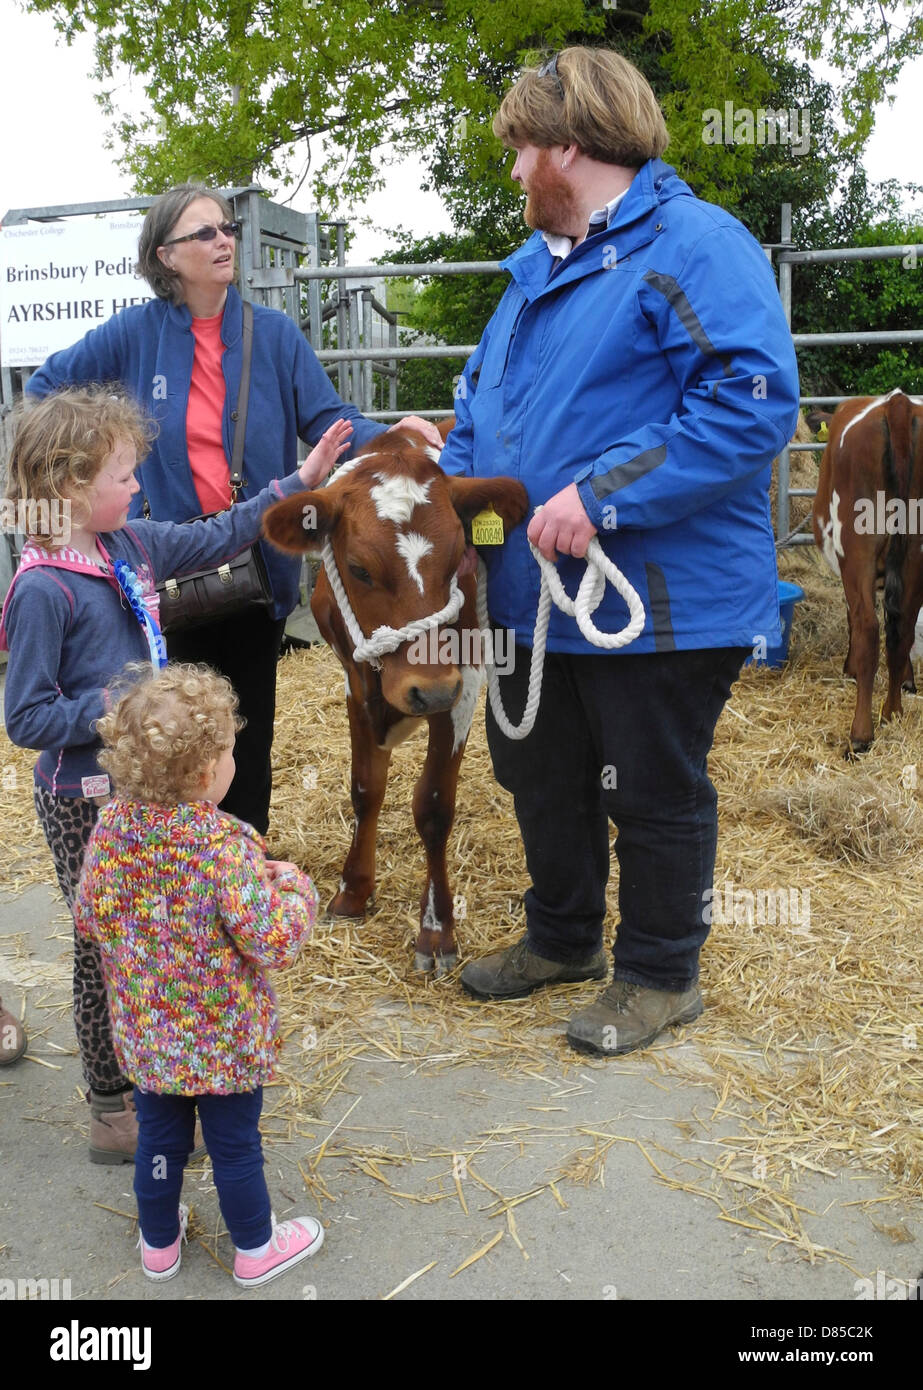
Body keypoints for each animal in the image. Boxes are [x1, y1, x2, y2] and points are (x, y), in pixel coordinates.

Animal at [262, 428, 531, 973]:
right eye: (359, 569)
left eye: (460, 556)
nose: (427, 689)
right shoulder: (354, 679)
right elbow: (366, 788)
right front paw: (353, 891)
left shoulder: (462, 683)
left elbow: (433, 806)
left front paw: (437, 929)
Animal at [811, 386, 922, 756]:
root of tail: (898, 403)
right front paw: (907, 681)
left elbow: (853, 620)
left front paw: (850, 669)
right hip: (915, 552)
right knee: (902, 627)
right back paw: (892, 712)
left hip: (856, 551)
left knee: (869, 629)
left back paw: (861, 734)